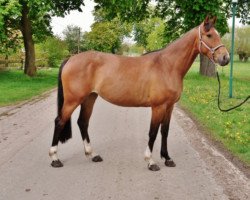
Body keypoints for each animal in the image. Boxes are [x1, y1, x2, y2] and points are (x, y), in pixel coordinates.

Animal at [49, 16, 230, 171]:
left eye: (218, 35)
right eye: (209, 35)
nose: (225, 58)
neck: (167, 66)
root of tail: (71, 58)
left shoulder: (170, 106)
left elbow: (165, 131)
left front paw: (167, 158)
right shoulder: (158, 107)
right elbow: (153, 133)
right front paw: (151, 162)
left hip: (89, 98)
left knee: (82, 122)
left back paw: (92, 155)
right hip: (73, 100)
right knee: (59, 121)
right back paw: (55, 159)